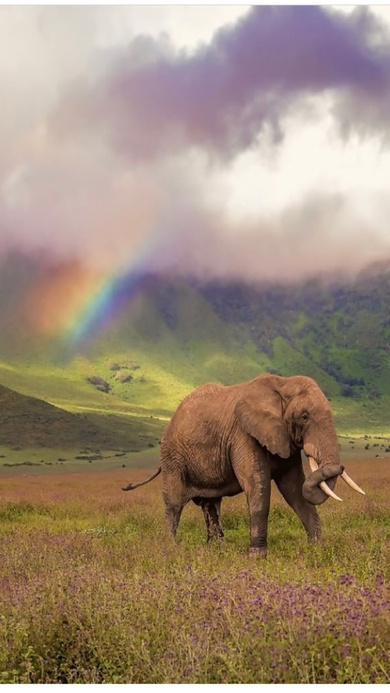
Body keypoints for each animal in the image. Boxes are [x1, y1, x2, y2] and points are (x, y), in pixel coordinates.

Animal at [122, 374, 366, 556]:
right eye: (304, 417)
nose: (341, 468)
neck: (282, 384)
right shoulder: (243, 434)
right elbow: (258, 485)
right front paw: (258, 557)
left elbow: (294, 488)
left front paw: (316, 549)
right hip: (172, 457)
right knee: (173, 504)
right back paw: (171, 549)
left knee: (211, 504)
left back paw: (217, 550)